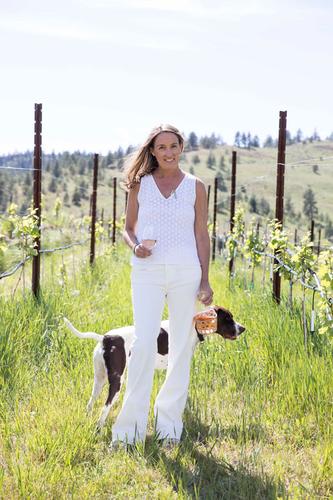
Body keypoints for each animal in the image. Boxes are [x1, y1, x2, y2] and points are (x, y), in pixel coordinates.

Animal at [63, 306, 244, 428]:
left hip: (99, 379)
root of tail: (105, 338)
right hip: (116, 382)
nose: (243, 328)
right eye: (228, 318)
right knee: (104, 408)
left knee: (91, 402)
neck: (193, 326)